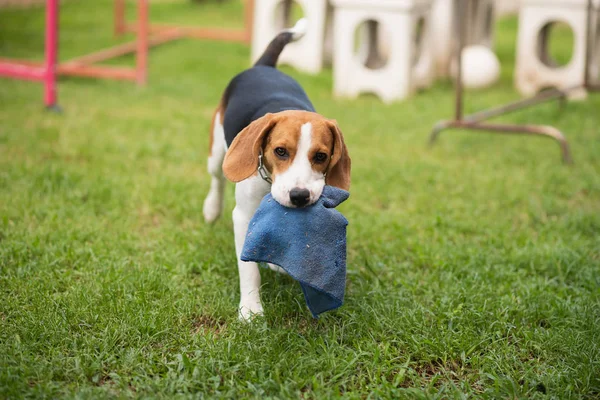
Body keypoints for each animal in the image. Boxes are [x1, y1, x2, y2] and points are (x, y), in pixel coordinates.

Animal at [203, 19, 352, 322]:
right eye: (280, 151)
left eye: (321, 156)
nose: (299, 196)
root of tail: (264, 66)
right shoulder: (243, 216)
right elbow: (248, 269)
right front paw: (250, 309)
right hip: (217, 151)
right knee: (217, 179)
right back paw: (211, 208)